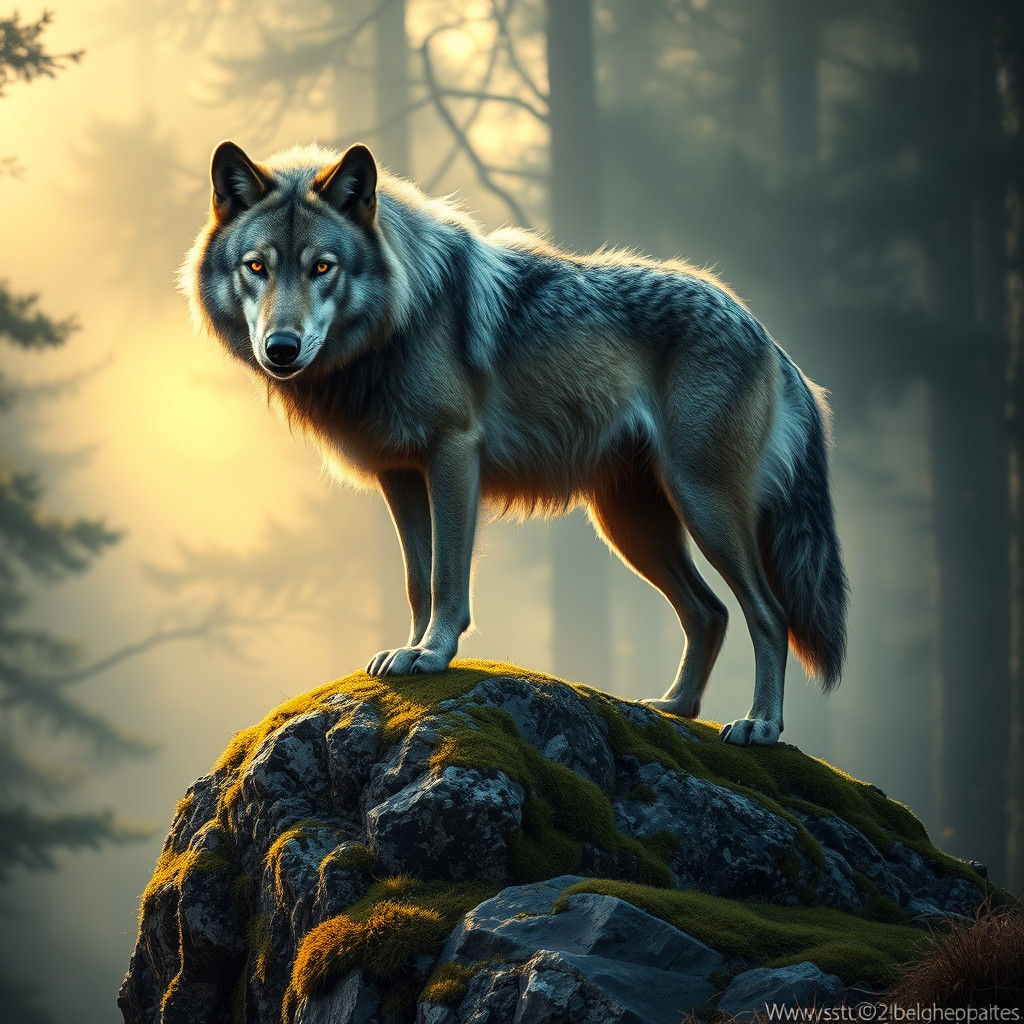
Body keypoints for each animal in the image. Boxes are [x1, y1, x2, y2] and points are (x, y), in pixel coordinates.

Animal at [184, 140, 848, 746]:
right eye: (257, 267)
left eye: (322, 267)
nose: (281, 348)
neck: (400, 317)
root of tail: (767, 336)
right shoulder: (400, 476)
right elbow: (417, 581)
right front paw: (409, 651)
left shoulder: (453, 456)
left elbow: (447, 578)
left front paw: (432, 654)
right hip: (630, 524)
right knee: (709, 613)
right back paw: (673, 707)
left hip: (702, 505)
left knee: (769, 614)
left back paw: (760, 726)